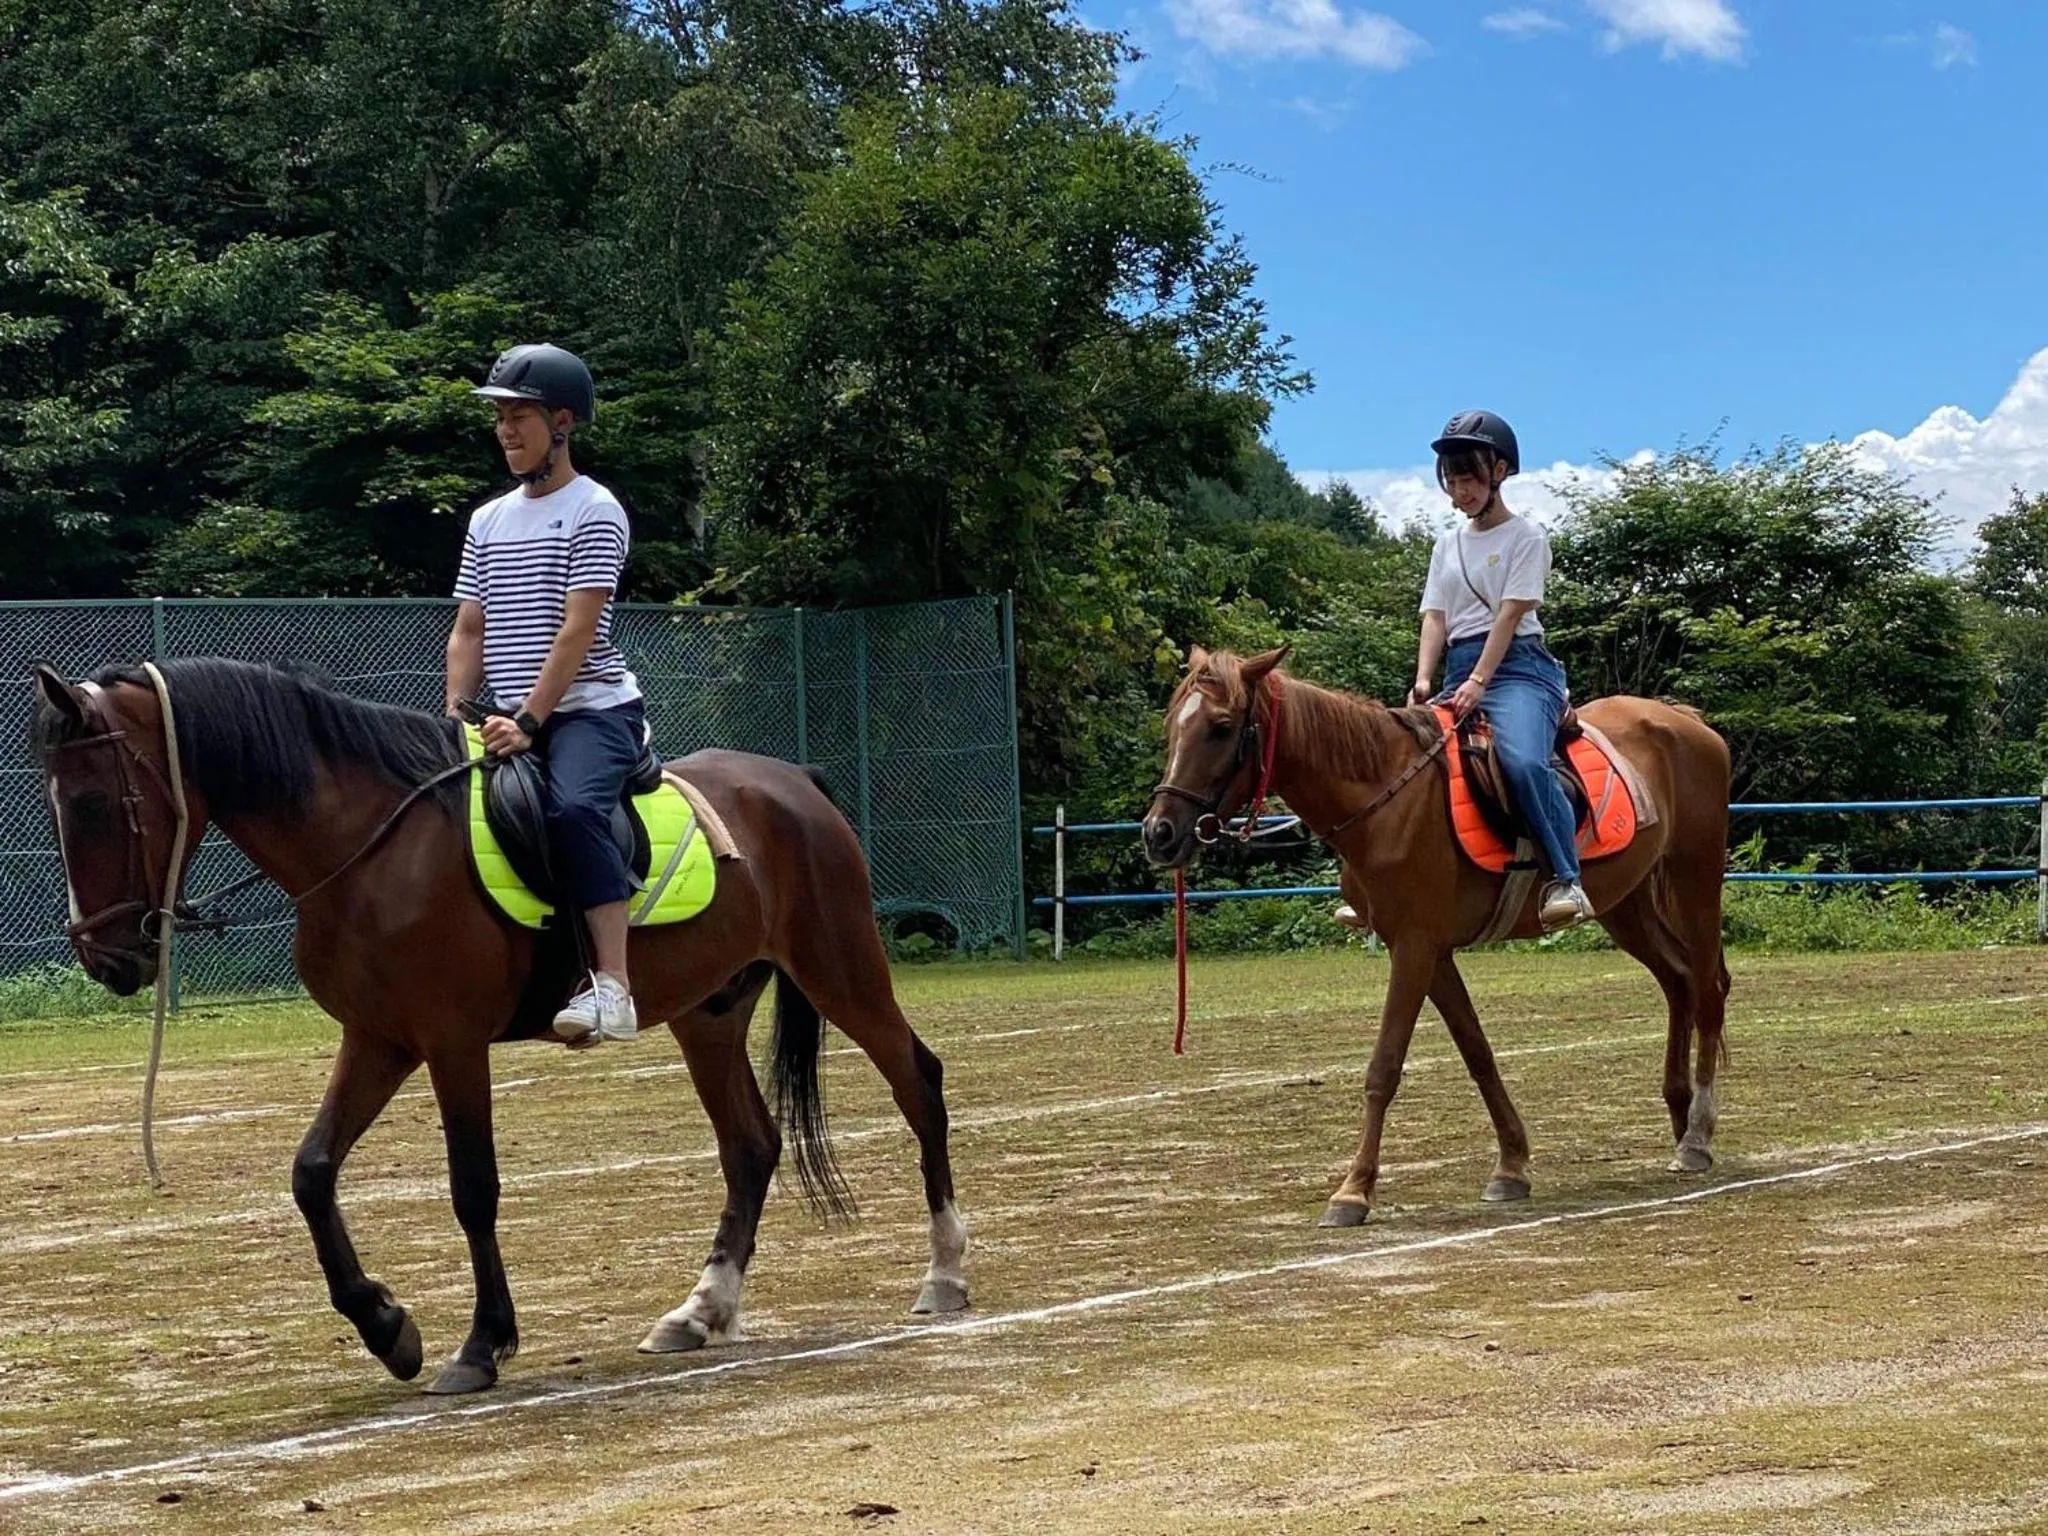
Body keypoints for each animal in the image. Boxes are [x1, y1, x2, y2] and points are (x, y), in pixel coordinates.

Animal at [29, 657, 969, 1394]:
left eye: (90, 803)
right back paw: (700, 1311)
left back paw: (945, 1272)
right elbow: (312, 1172)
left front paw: (479, 1346)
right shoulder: (379, 1040)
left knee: (918, 1082)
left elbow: (472, 1186)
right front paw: (386, 1327)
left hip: (842, 967)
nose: (105, 957)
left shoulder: (450, 1043)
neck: (368, 846)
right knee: (751, 1146)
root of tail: (794, 782)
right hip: (709, 1014)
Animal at [1142, 646, 1731, 1228]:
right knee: (1678, 982)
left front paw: (1353, 1192)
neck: (1385, 797)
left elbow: (1383, 1067)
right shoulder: (1432, 952)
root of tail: (1687, 721)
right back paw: (1680, 1121)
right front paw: (1511, 1165)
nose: (1159, 833)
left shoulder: (1415, 947)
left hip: (1695, 878)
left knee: (1708, 989)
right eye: (1173, 725)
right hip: (1625, 902)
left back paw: (1697, 1135)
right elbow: (1477, 1053)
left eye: (1221, 728)